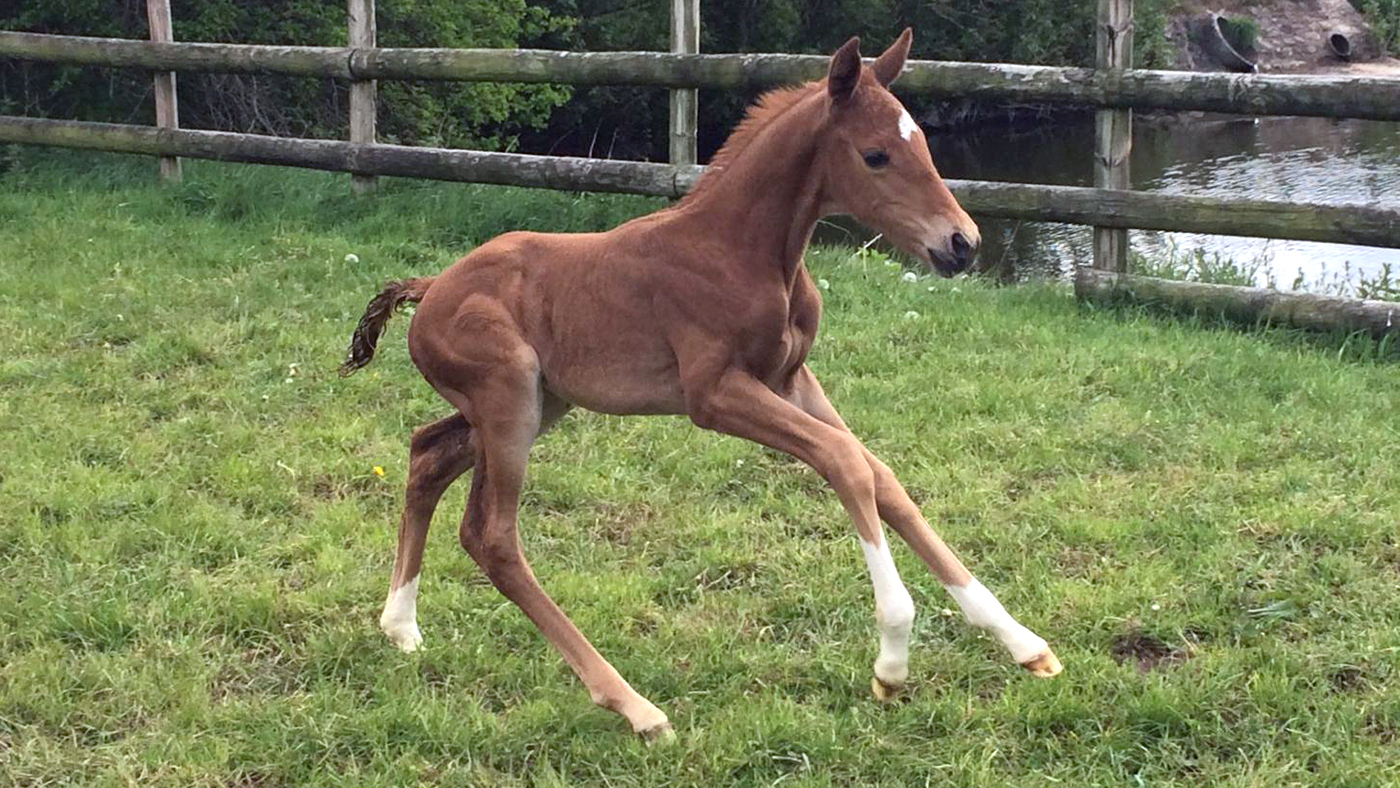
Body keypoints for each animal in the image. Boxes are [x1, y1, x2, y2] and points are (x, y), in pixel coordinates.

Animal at [341, 29, 1061, 742]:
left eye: (926, 145)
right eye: (876, 155)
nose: (962, 244)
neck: (743, 251)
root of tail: (431, 288)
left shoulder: (791, 380)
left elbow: (881, 476)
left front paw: (1024, 643)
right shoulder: (714, 395)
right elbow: (845, 462)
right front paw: (891, 659)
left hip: (537, 404)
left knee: (427, 454)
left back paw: (400, 626)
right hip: (509, 398)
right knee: (492, 537)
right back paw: (636, 707)